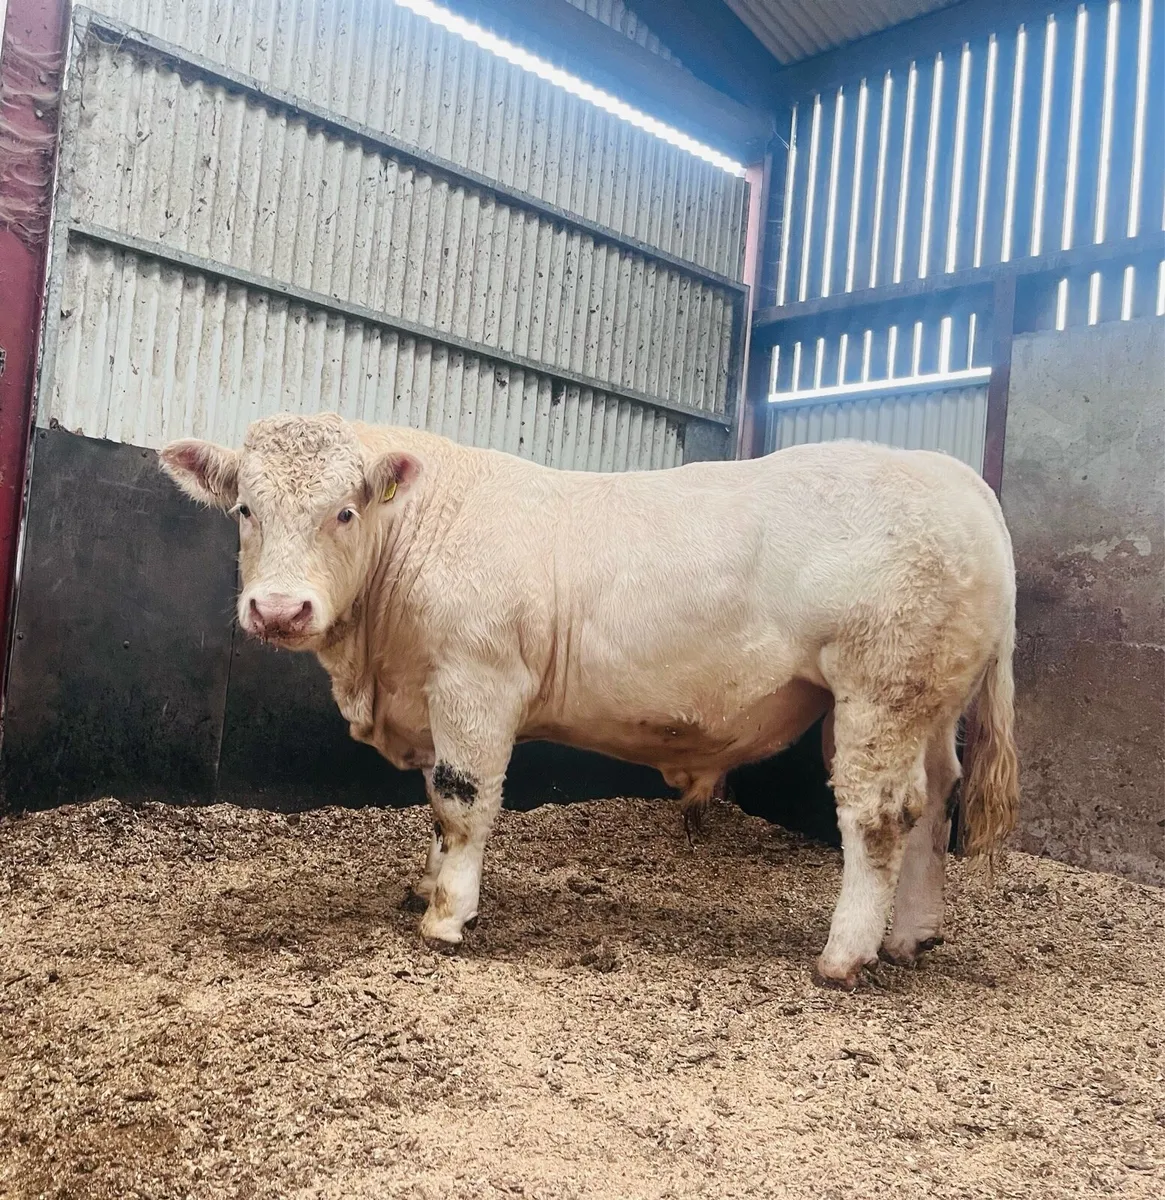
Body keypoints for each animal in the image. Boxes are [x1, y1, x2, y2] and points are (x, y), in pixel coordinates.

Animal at [160, 413, 1019, 990]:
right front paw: (428, 886)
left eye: (344, 510)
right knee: (932, 800)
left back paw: (843, 956)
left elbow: (462, 798)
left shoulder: (476, 679)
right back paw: (911, 936)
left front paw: (447, 918)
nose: (278, 611)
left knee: (877, 815)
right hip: (925, 701)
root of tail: (954, 475)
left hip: (881, 686)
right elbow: (435, 804)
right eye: (245, 510)